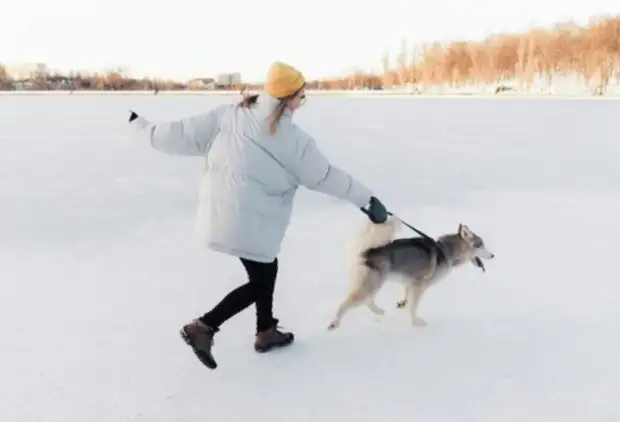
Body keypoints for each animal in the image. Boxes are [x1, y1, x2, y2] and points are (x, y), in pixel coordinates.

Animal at [330, 216, 494, 332]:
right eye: (481, 245)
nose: (493, 255)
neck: (445, 250)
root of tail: (365, 252)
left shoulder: (411, 283)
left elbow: (408, 299)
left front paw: (403, 304)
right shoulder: (419, 285)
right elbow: (413, 306)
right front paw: (416, 322)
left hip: (373, 284)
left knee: (367, 301)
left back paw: (379, 312)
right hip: (371, 284)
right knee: (347, 304)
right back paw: (334, 323)